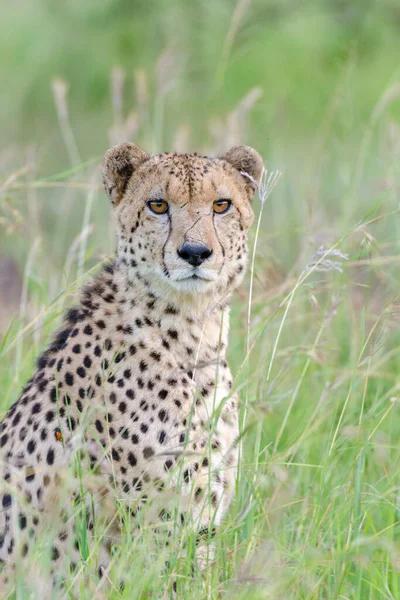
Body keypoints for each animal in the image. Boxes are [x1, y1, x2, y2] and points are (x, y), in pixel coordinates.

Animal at [0, 142, 262, 596]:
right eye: (158, 205)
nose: (195, 253)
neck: (192, 331)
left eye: (221, 205)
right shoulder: (159, 527)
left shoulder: (199, 520)